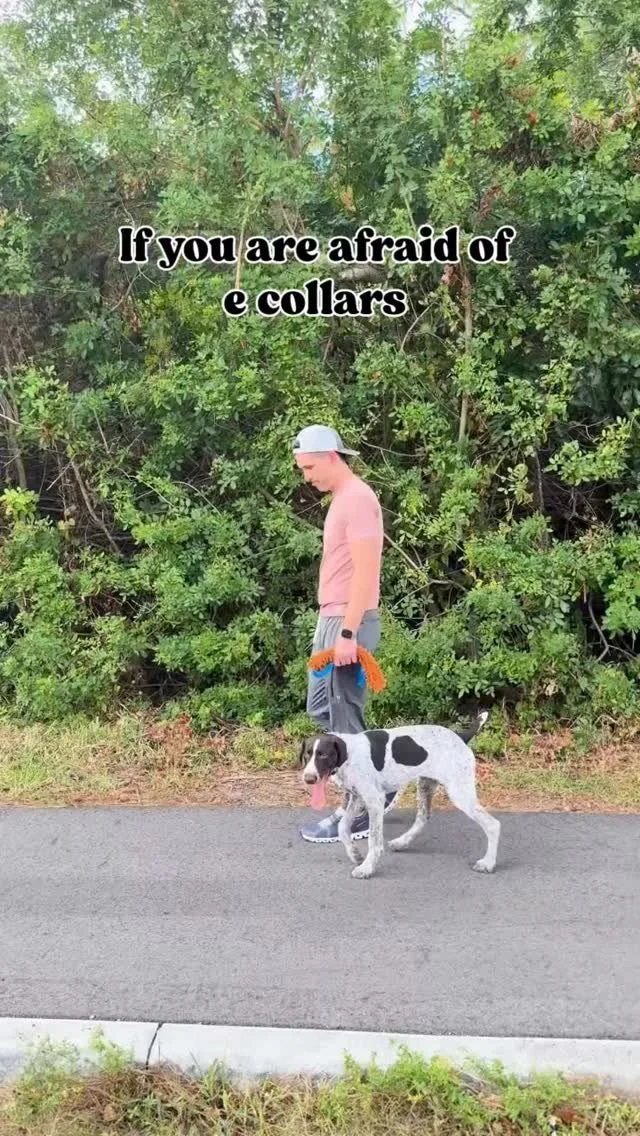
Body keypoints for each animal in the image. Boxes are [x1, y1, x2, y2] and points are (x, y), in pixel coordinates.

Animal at [299, 712, 500, 879]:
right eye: (307, 754)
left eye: (323, 755)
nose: (308, 779)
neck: (349, 754)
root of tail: (461, 736)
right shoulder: (357, 797)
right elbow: (342, 827)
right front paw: (354, 854)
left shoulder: (375, 801)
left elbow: (374, 841)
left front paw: (367, 868)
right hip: (426, 785)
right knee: (423, 817)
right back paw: (402, 842)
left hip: (460, 793)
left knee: (493, 825)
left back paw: (488, 863)